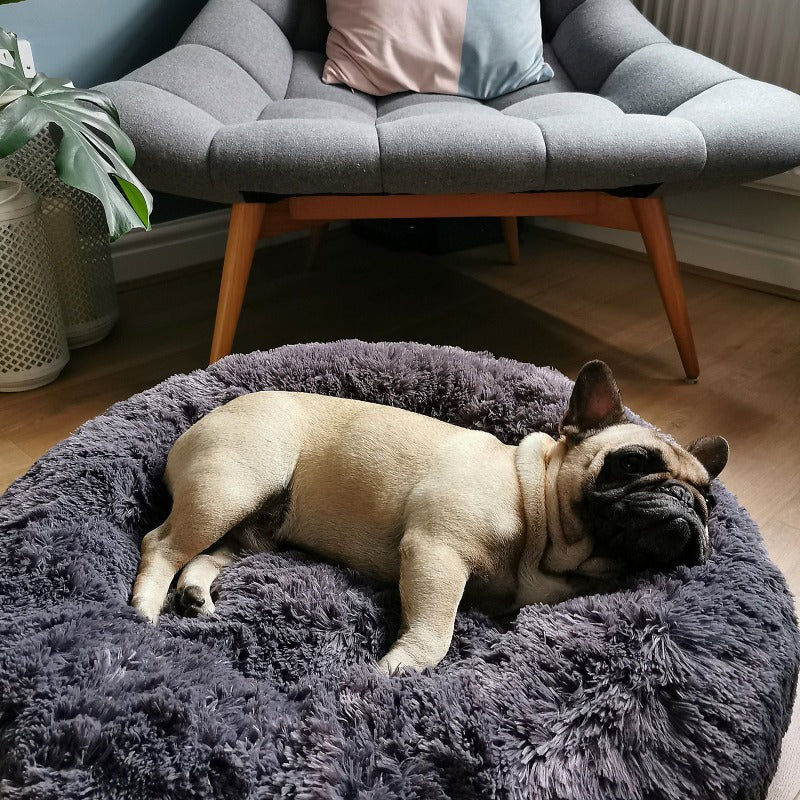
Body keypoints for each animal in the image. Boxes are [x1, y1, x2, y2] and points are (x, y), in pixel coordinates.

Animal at [131, 360, 724, 672]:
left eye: (709, 500)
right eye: (632, 463)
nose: (684, 502)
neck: (532, 500)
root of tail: (201, 421)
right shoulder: (437, 551)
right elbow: (436, 629)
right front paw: (402, 667)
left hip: (252, 527)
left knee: (204, 556)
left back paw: (195, 595)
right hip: (231, 486)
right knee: (161, 545)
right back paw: (143, 613)